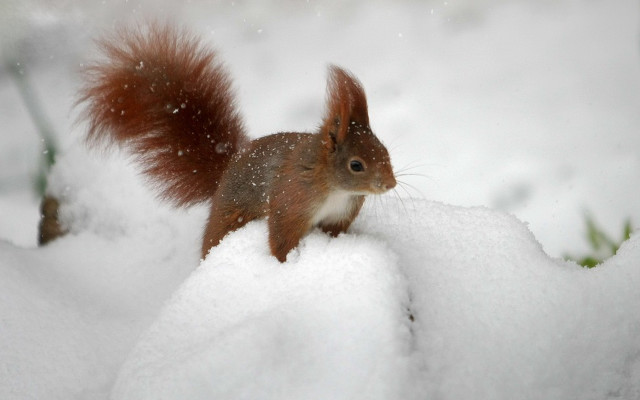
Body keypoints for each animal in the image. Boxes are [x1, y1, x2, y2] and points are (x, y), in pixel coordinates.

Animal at [79, 24, 396, 262]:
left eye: (385, 151)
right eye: (356, 165)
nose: (391, 184)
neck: (334, 187)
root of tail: (226, 170)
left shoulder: (340, 216)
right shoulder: (291, 201)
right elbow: (281, 239)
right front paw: (285, 264)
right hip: (228, 219)